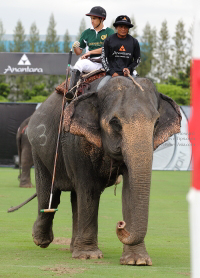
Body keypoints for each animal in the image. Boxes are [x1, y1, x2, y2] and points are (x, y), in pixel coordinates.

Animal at [26, 76, 181, 264]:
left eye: (156, 122)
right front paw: (89, 256)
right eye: (115, 122)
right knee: (50, 192)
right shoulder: (76, 141)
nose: (121, 224)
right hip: (39, 149)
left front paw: (137, 261)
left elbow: (129, 190)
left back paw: (72, 247)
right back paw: (41, 240)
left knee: (74, 196)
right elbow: (89, 189)